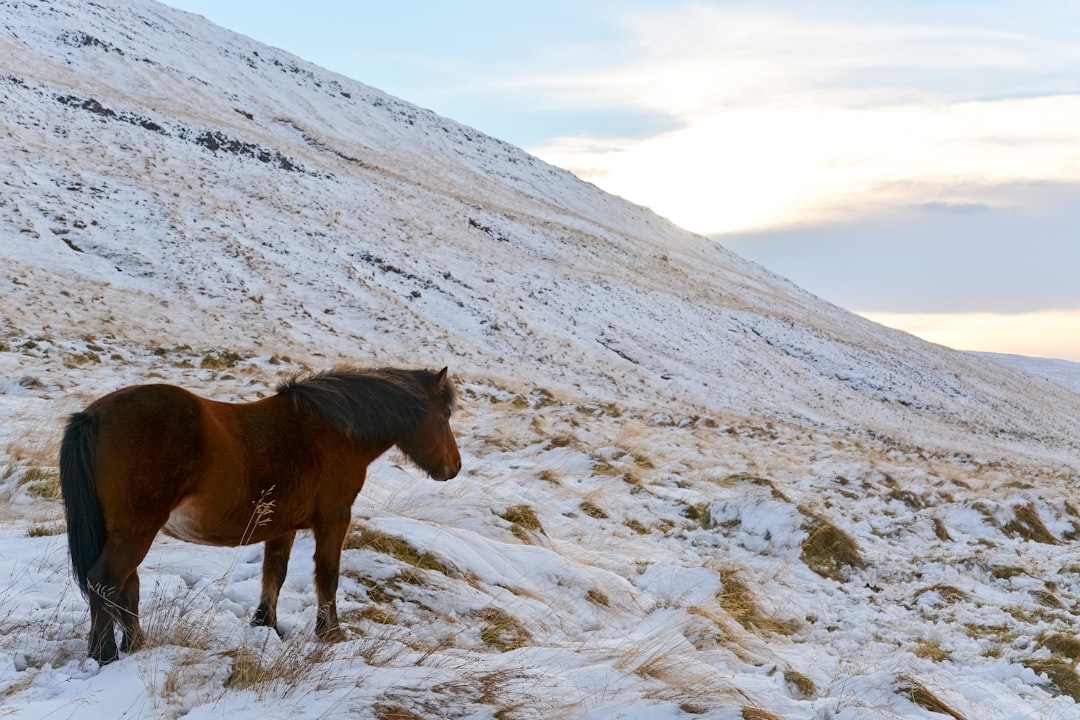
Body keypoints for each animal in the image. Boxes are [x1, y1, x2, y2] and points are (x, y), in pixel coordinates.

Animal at [60, 369, 460, 669]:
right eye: (444, 416)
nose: (454, 468)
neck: (334, 431)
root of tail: (93, 415)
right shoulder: (333, 521)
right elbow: (327, 576)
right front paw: (330, 634)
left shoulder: (281, 527)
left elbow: (274, 574)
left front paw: (265, 625)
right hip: (135, 531)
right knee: (105, 581)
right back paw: (105, 654)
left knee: (126, 586)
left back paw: (135, 646)